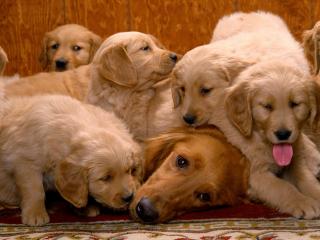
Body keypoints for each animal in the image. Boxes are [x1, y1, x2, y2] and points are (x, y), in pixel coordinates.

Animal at [0, 93, 141, 225]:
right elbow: (35, 189)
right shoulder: (26, 161)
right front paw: (35, 214)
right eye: (105, 178)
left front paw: (84, 207)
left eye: (128, 171)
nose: (129, 197)